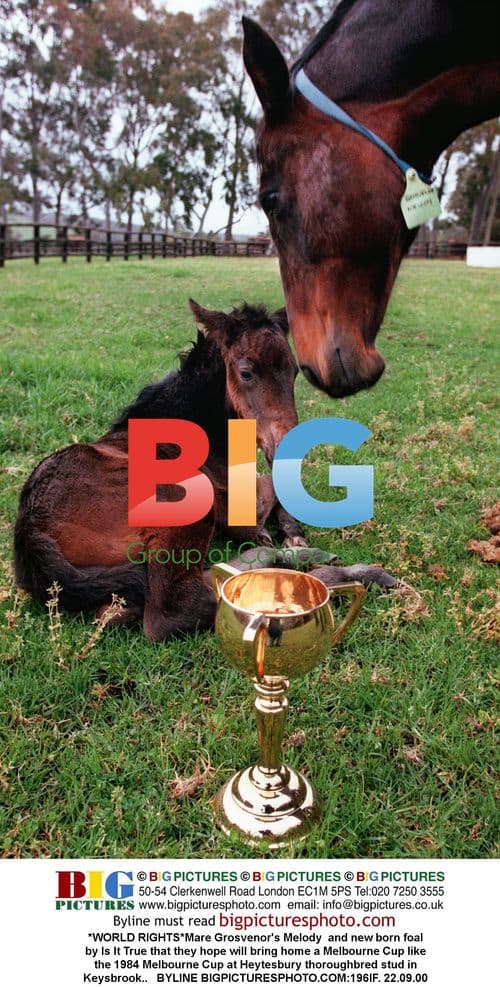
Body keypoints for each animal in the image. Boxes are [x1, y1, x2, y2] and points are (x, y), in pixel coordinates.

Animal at [14, 301, 302, 642]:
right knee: (173, 611)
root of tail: (31, 530)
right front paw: (281, 537)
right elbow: (269, 491)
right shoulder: (233, 503)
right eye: (246, 373)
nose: (287, 445)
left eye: (295, 371)